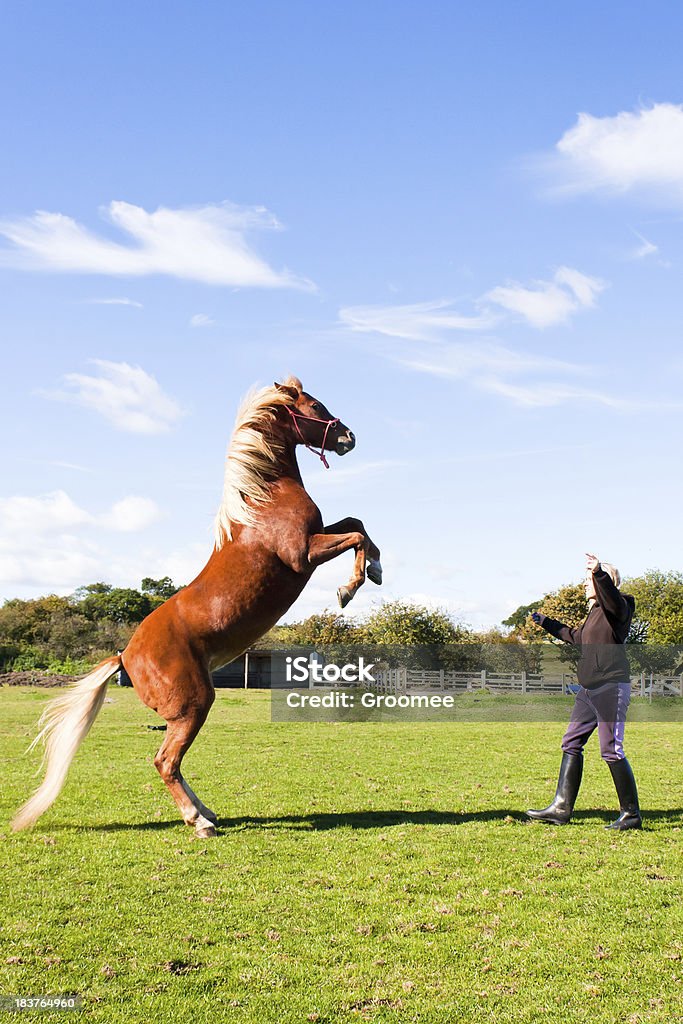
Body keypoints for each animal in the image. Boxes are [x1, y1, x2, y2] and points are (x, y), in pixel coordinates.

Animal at [12, 380, 385, 835]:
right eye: (314, 406)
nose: (349, 437)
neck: (263, 501)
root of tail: (124, 655)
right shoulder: (304, 555)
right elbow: (356, 536)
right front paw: (349, 588)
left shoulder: (319, 536)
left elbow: (358, 524)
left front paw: (375, 570)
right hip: (194, 705)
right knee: (165, 761)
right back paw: (200, 821)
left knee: (169, 762)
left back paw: (206, 812)